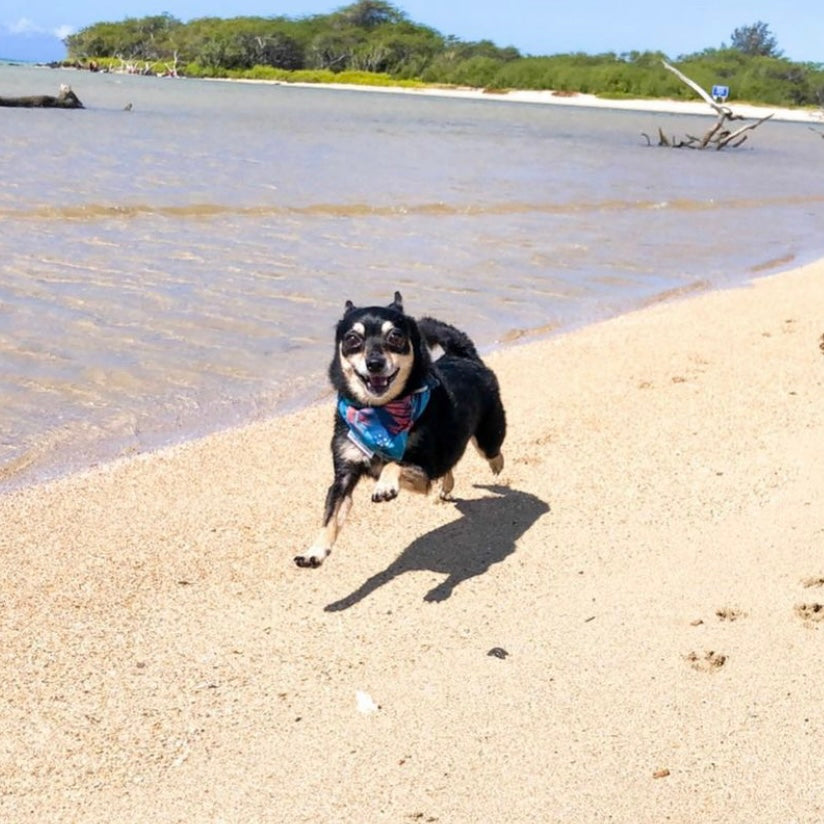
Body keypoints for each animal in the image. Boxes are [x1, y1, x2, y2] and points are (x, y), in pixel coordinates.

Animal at [292, 292, 506, 568]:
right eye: (352, 339)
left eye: (395, 337)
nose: (374, 363)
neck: (379, 414)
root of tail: (464, 356)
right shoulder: (344, 476)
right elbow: (330, 515)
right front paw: (315, 551)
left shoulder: (423, 470)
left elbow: (395, 464)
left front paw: (384, 486)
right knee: (449, 465)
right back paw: (446, 488)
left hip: (487, 438)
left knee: (492, 452)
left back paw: (496, 468)